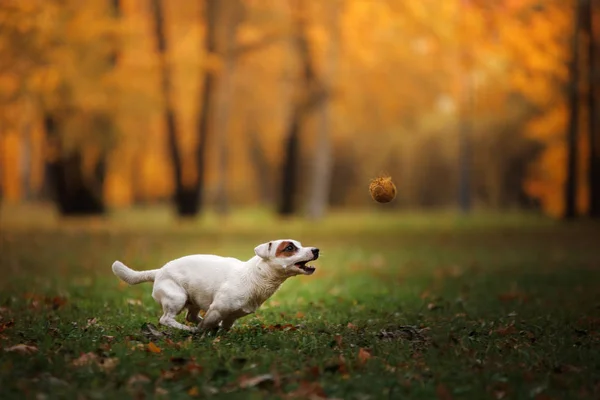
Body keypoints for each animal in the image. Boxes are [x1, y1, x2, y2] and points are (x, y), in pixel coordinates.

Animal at [111, 241, 318, 332]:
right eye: (289, 248)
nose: (316, 249)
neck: (256, 275)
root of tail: (159, 271)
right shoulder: (218, 308)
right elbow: (207, 325)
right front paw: (203, 335)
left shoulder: (231, 316)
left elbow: (224, 326)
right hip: (177, 298)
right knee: (167, 319)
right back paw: (188, 329)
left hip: (193, 300)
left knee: (191, 316)